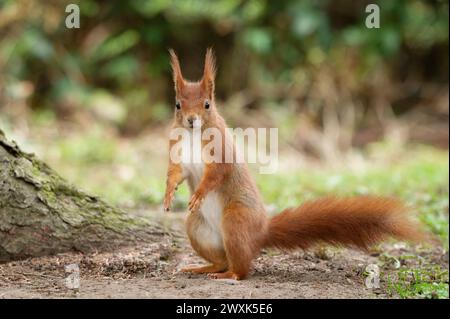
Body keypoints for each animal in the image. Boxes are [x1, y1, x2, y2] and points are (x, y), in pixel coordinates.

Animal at [163, 48, 422, 282]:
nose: (191, 120)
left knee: (241, 267)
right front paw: (168, 196)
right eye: (177, 105)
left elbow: (217, 173)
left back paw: (230, 275)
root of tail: (260, 232)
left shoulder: (222, 152)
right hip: (197, 227)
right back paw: (200, 268)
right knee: (221, 260)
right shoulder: (179, 153)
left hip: (236, 221)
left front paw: (199, 193)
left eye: (207, 104)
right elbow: (176, 173)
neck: (193, 135)